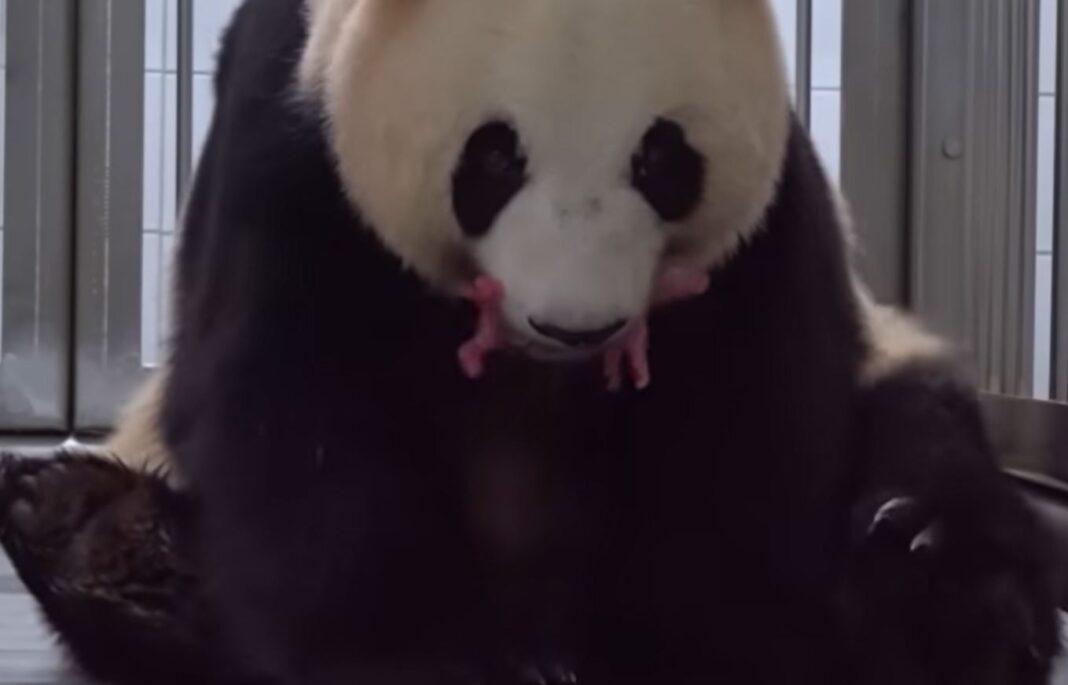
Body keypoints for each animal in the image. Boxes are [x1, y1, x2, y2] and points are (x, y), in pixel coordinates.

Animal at [0, 0, 1061, 683]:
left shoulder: (763, 224)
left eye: (662, 156)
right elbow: (296, 417)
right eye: (494, 156)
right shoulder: (294, 138)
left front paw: (678, 647)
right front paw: (405, 655)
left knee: (923, 438)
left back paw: (933, 567)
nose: (574, 323)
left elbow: (746, 437)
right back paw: (90, 532)